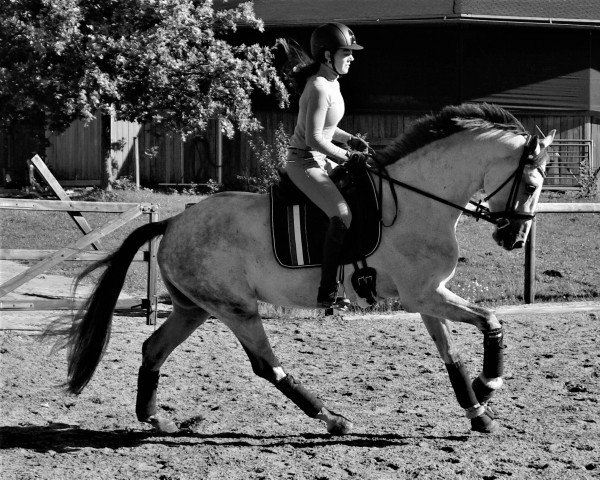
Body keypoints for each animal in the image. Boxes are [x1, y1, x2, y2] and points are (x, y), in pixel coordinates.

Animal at [56, 103, 552, 436]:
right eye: (530, 183)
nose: (514, 239)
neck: (419, 198)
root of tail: (174, 221)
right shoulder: (425, 294)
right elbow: (491, 321)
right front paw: (489, 384)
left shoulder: (428, 296)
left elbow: (451, 355)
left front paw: (477, 409)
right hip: (236, 309)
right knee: (266, 365)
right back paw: (332, 419)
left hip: (194, 308)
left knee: (153, 349)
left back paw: (154, 418)